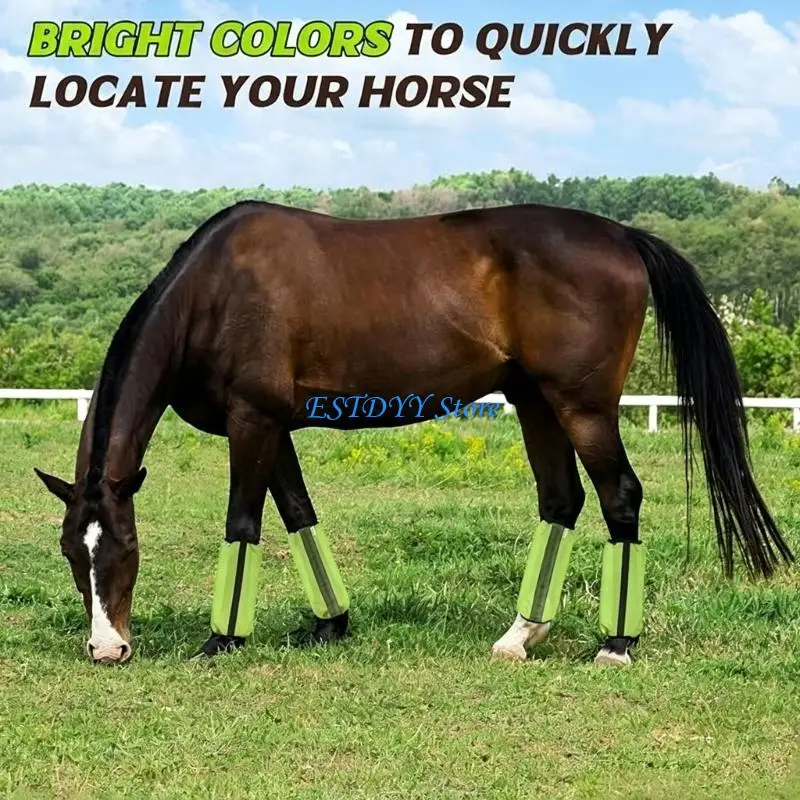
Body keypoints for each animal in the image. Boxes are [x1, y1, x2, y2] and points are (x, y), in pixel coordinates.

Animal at [35, 200, 794, 666]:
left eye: (128, 547)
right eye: (73, 551)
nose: (107, 649)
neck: (216, 290)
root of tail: (625, 237)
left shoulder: (252, 422)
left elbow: (243, 523)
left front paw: (223, 639)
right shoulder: (270, 426)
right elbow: (299, 514)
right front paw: (330, 624)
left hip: (583, 407)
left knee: (620, 499)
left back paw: (616, 643)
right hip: (535, 403)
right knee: (561, 501)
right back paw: (520, 636)